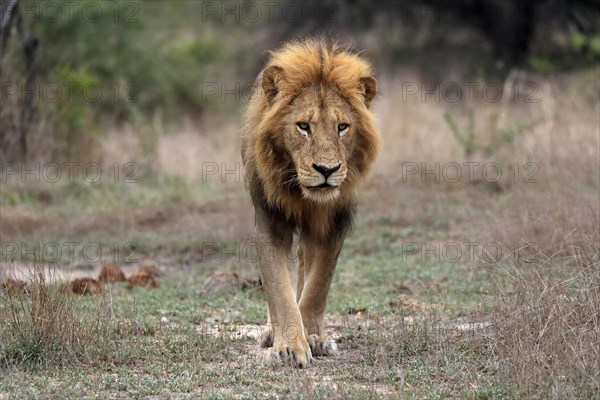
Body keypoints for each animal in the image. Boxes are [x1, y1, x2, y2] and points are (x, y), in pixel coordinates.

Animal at [240, 39, 378, 368]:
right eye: (303, 126)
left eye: (342, 127)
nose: (326, 170)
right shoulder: (270, 223)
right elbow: (279, 289)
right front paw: (289, 346)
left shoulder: (335, 223)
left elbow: (318, 286)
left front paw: (314, 336)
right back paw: (271, 331)